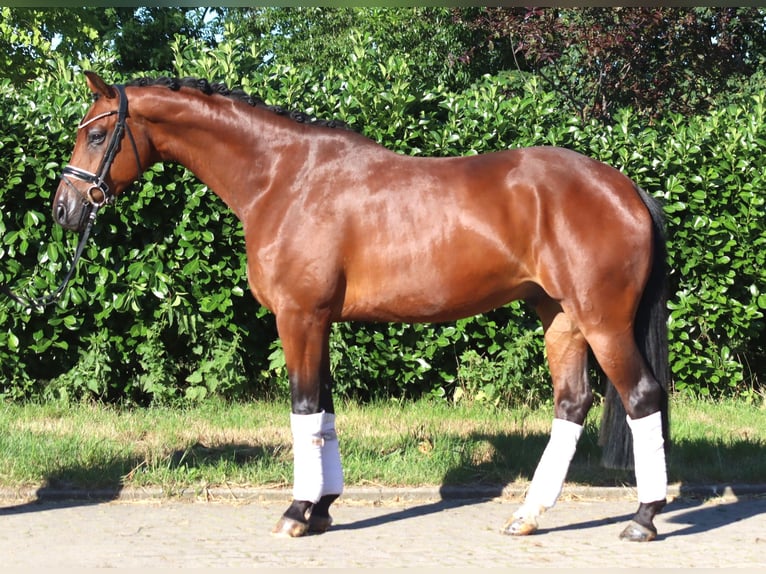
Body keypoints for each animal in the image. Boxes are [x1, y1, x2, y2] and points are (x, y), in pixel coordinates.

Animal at [52, 71, 670, 542]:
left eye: (98, 134)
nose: (63, 208)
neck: (283, 179)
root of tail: (626, 189)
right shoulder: (318, 321)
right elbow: (324, 413)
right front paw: (321, 508)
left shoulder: (298, 317)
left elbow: (303, 408)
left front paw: (296, 513)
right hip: (559, 317)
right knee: (571, 403)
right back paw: (528, 515)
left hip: (602, 322)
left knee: (641, 398)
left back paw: (643, 518)